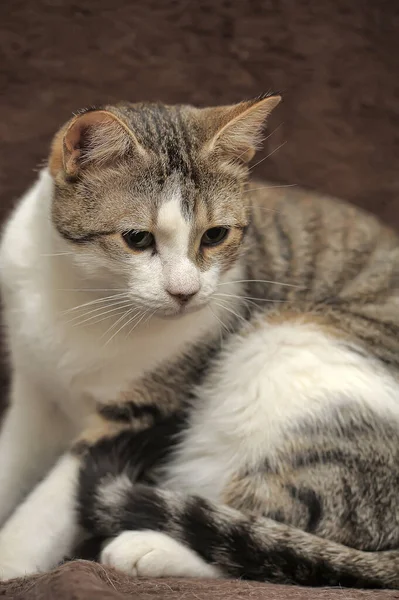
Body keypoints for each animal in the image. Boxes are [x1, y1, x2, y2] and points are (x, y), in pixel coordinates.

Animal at [0, 94, 399, 584]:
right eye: (137, 238)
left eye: (215, 235)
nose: (185, 291)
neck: (84, 299)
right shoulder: (34, 396)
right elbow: (10, 462)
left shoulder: (144, 413)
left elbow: (48, 507)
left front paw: (11, 557)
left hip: (288, 354)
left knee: (279, 539)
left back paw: (148, 547)